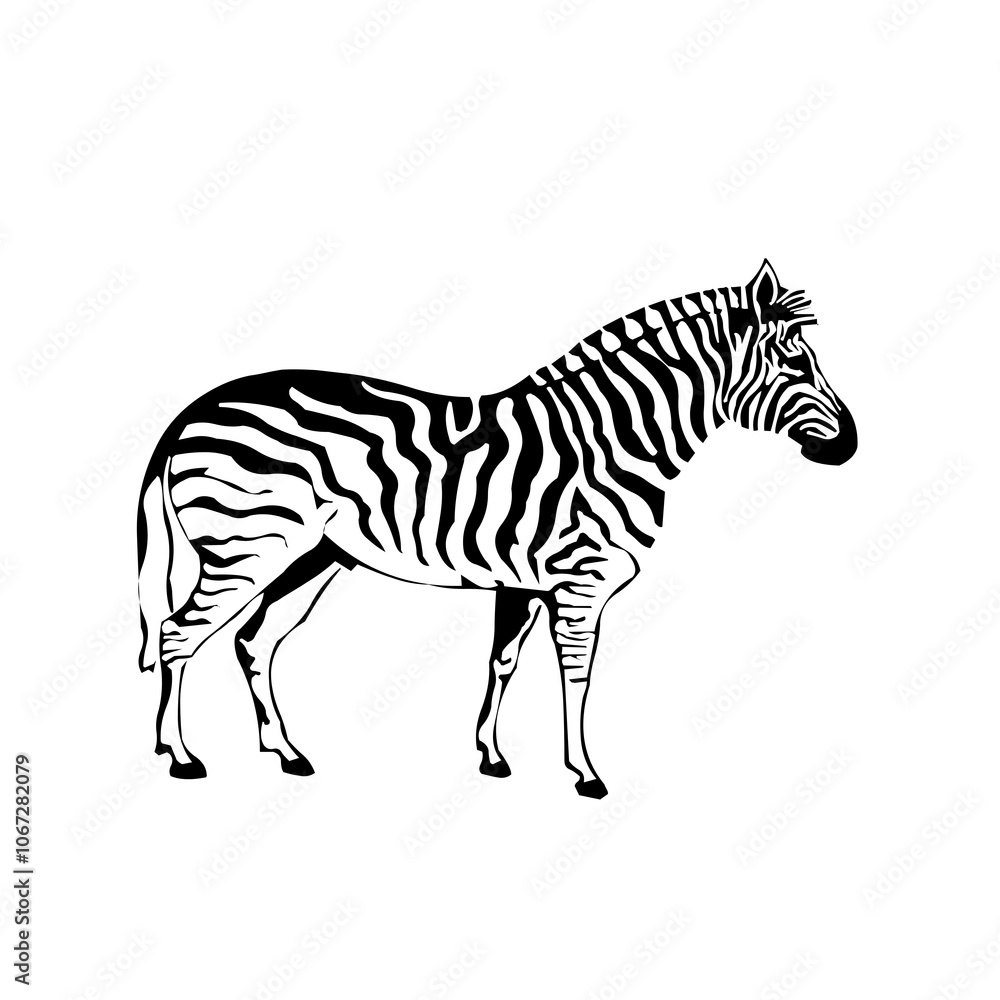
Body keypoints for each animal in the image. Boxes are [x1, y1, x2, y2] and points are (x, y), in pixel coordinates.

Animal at [137, 260, 856, 798]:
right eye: (796, 366)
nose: (849, 445)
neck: (608, 441)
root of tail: (194, 410)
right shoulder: (580, 581)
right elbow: (576, 676)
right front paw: (584, 772)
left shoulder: (524, 583)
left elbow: (502, 662)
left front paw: (491, 756)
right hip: (246, 546)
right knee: (177, 634)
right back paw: (180, 756)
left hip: (309, 556)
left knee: (252, 642)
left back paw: (285, 751)